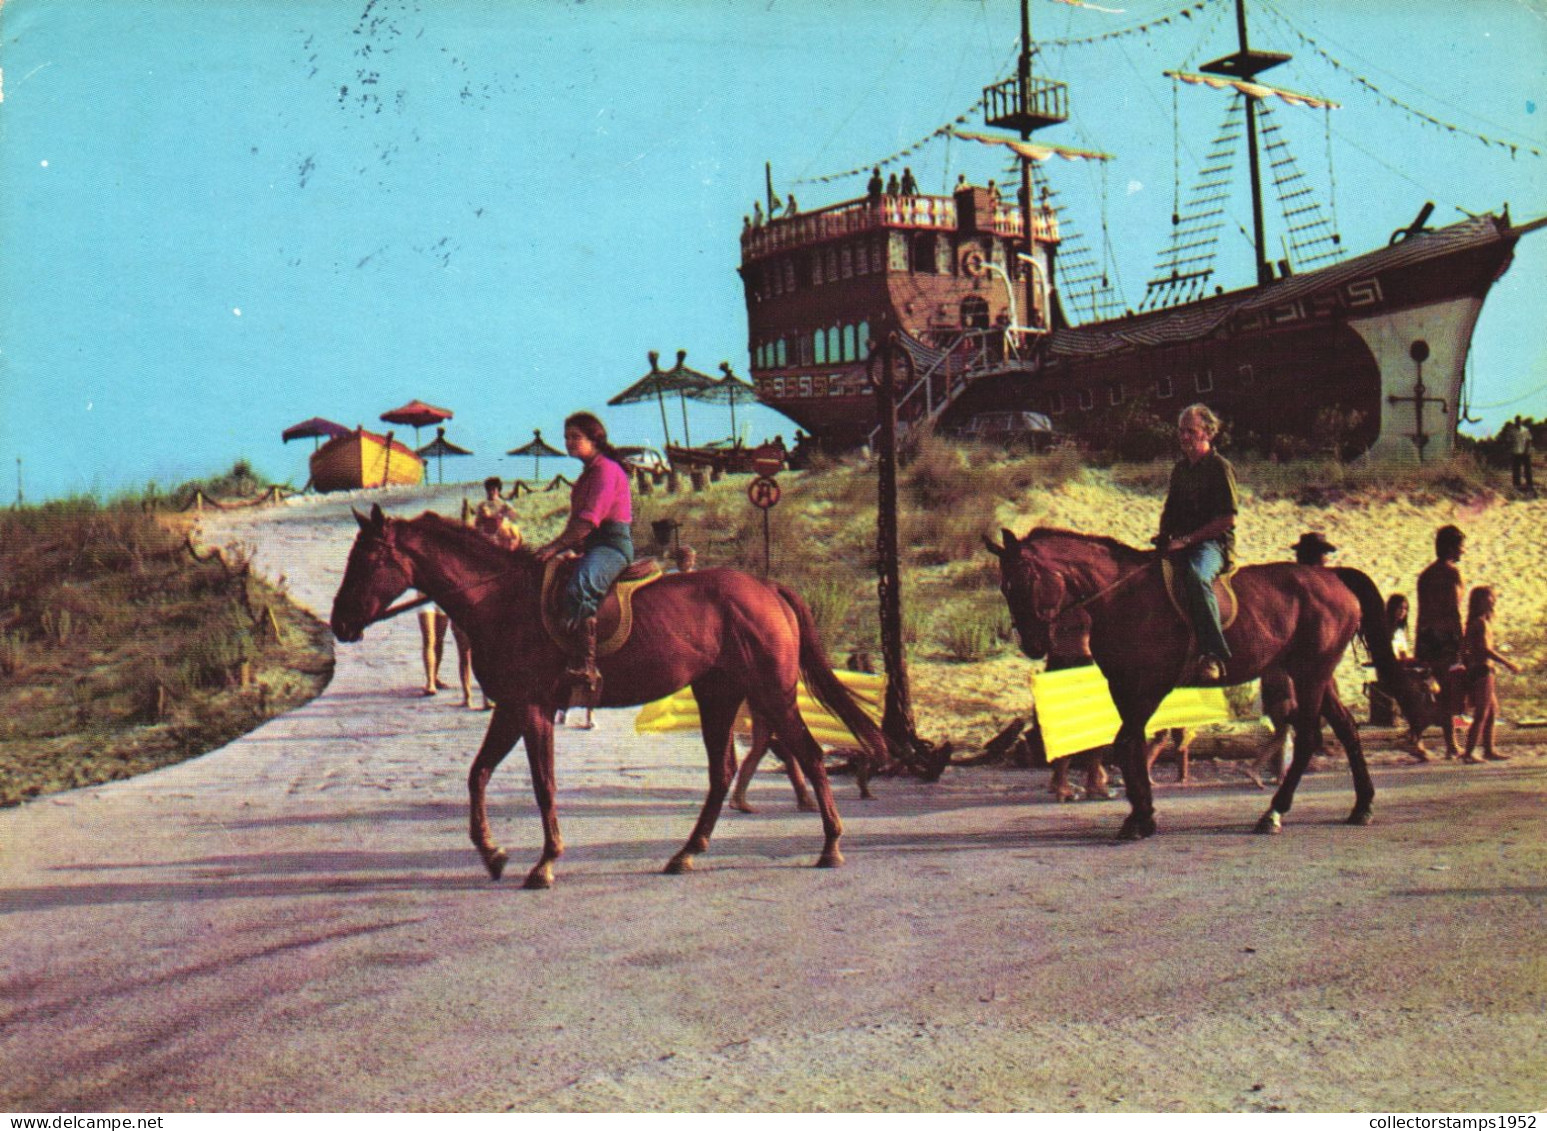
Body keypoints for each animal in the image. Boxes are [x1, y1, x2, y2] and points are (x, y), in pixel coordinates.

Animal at [332, 507, 891, 891]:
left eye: (369, 559)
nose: (340, 622)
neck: (501, 600)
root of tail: (768, 588)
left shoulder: (532, 711)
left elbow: (543, 786)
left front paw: (545, 863)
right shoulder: (512, 708)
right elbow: (478, 774)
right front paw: (492, 854)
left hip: (771, 693)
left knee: (810, 757)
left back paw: (830, 845)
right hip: (719, 695)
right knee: (723, 773)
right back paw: (686, 853)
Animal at [983, 526, 1417, 835]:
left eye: (1025, 580)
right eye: (1004, 587)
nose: (1033, 644)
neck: (1121, 597)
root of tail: (1332, 579)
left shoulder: (1150, 685)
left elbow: (1126, 742)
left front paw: (1141, 817)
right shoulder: (1124, 687)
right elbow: (1130, 745)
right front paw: (1142, 812)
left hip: (1310, 673)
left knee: (1310, 736)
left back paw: (1274, 813)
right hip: (1314, 673)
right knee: (1345, 728)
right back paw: (1362, 806)